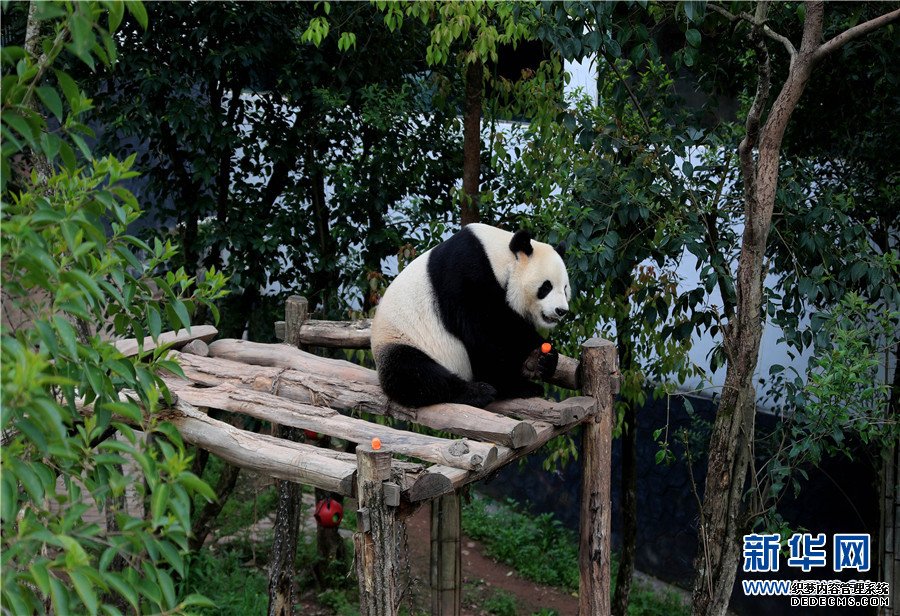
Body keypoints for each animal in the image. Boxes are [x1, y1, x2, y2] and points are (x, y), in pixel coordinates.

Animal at [370, 225, 568, 410]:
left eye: (565, 288)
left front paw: (539, 360)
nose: (561, 310)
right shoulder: (467, 275)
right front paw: (518, 385)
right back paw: (477, 392)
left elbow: (511, 328)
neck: (498, 257)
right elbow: (489, 331)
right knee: (412, 371)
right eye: (546, 287)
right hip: (401, 338)